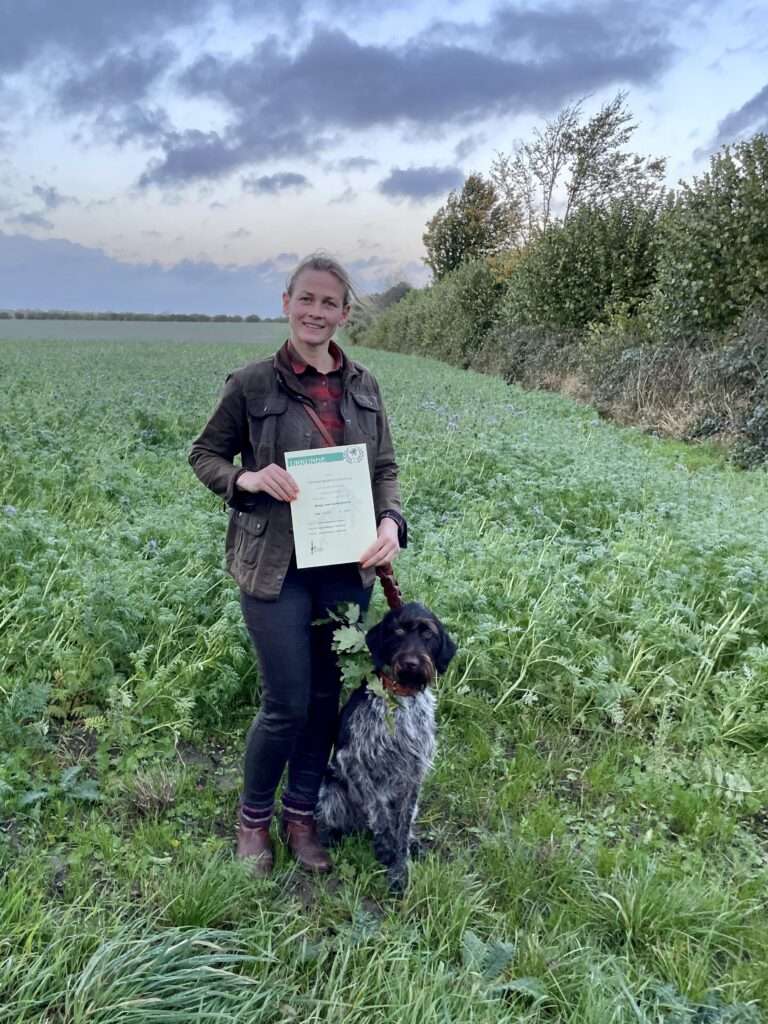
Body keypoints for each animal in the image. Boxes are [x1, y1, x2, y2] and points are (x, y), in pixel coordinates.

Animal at [313, 602, 454, 892]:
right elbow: (379, 812)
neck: (400, 700)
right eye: (397, 631)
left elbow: (402, 825)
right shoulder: (354, 761)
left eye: (428, 634)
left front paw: (401, 866)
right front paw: (388, 851)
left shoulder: (414, 774)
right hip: (332, 788)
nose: (411, 663)